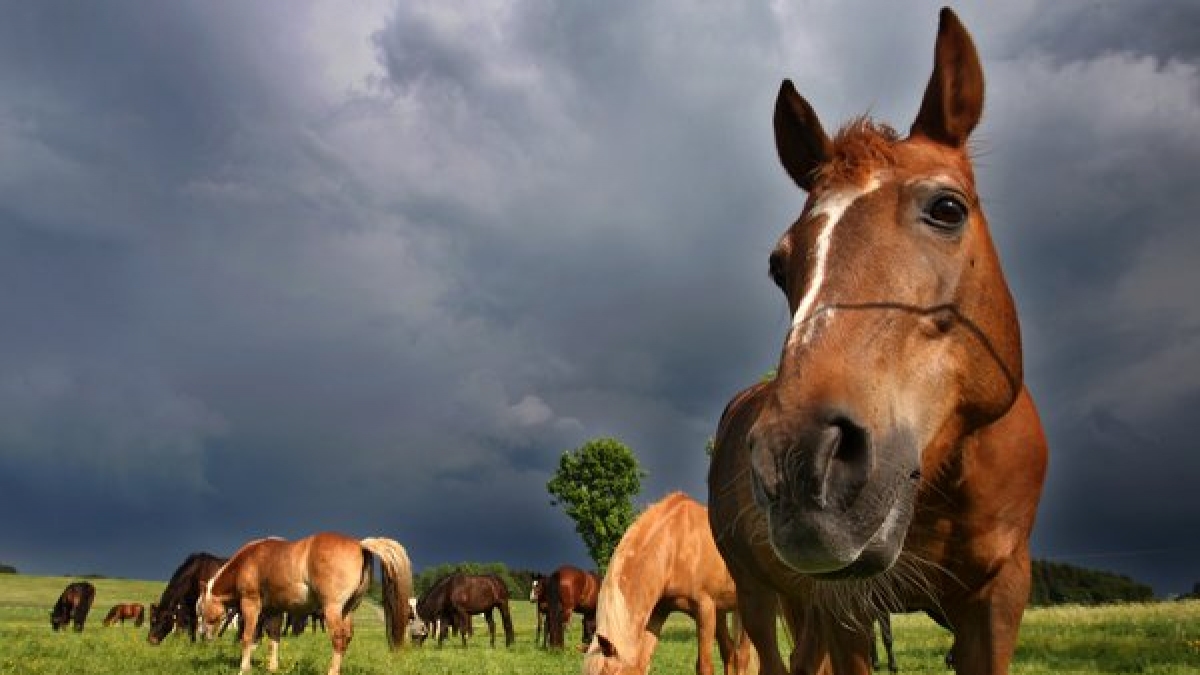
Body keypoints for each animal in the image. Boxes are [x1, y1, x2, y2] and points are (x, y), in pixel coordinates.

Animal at [197, 532, 412, 675]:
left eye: (201, 610)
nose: (203, 637)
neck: (249, 560)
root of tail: (360, 545)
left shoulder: (251, 605)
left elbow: (248, 637)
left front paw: (244, 669)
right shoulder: (275, 611)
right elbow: (274, 638)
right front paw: (272, 668)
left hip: (332, 609)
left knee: (338, 638)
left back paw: (331, 672)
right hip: (348, 610)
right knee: (346, 639)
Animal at [583, 492, 755, 675]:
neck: (675, 544)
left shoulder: (705, 609)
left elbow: (705, 666)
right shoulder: (659, 612)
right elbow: (643, 661)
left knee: (742, 656)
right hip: (721, 611)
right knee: (729, 652)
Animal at [707, 8, 1048, 675]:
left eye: (948, 208)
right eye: (778, 265)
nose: (798, 460)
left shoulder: (999, 595)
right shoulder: (848, 606)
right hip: (759, 592)